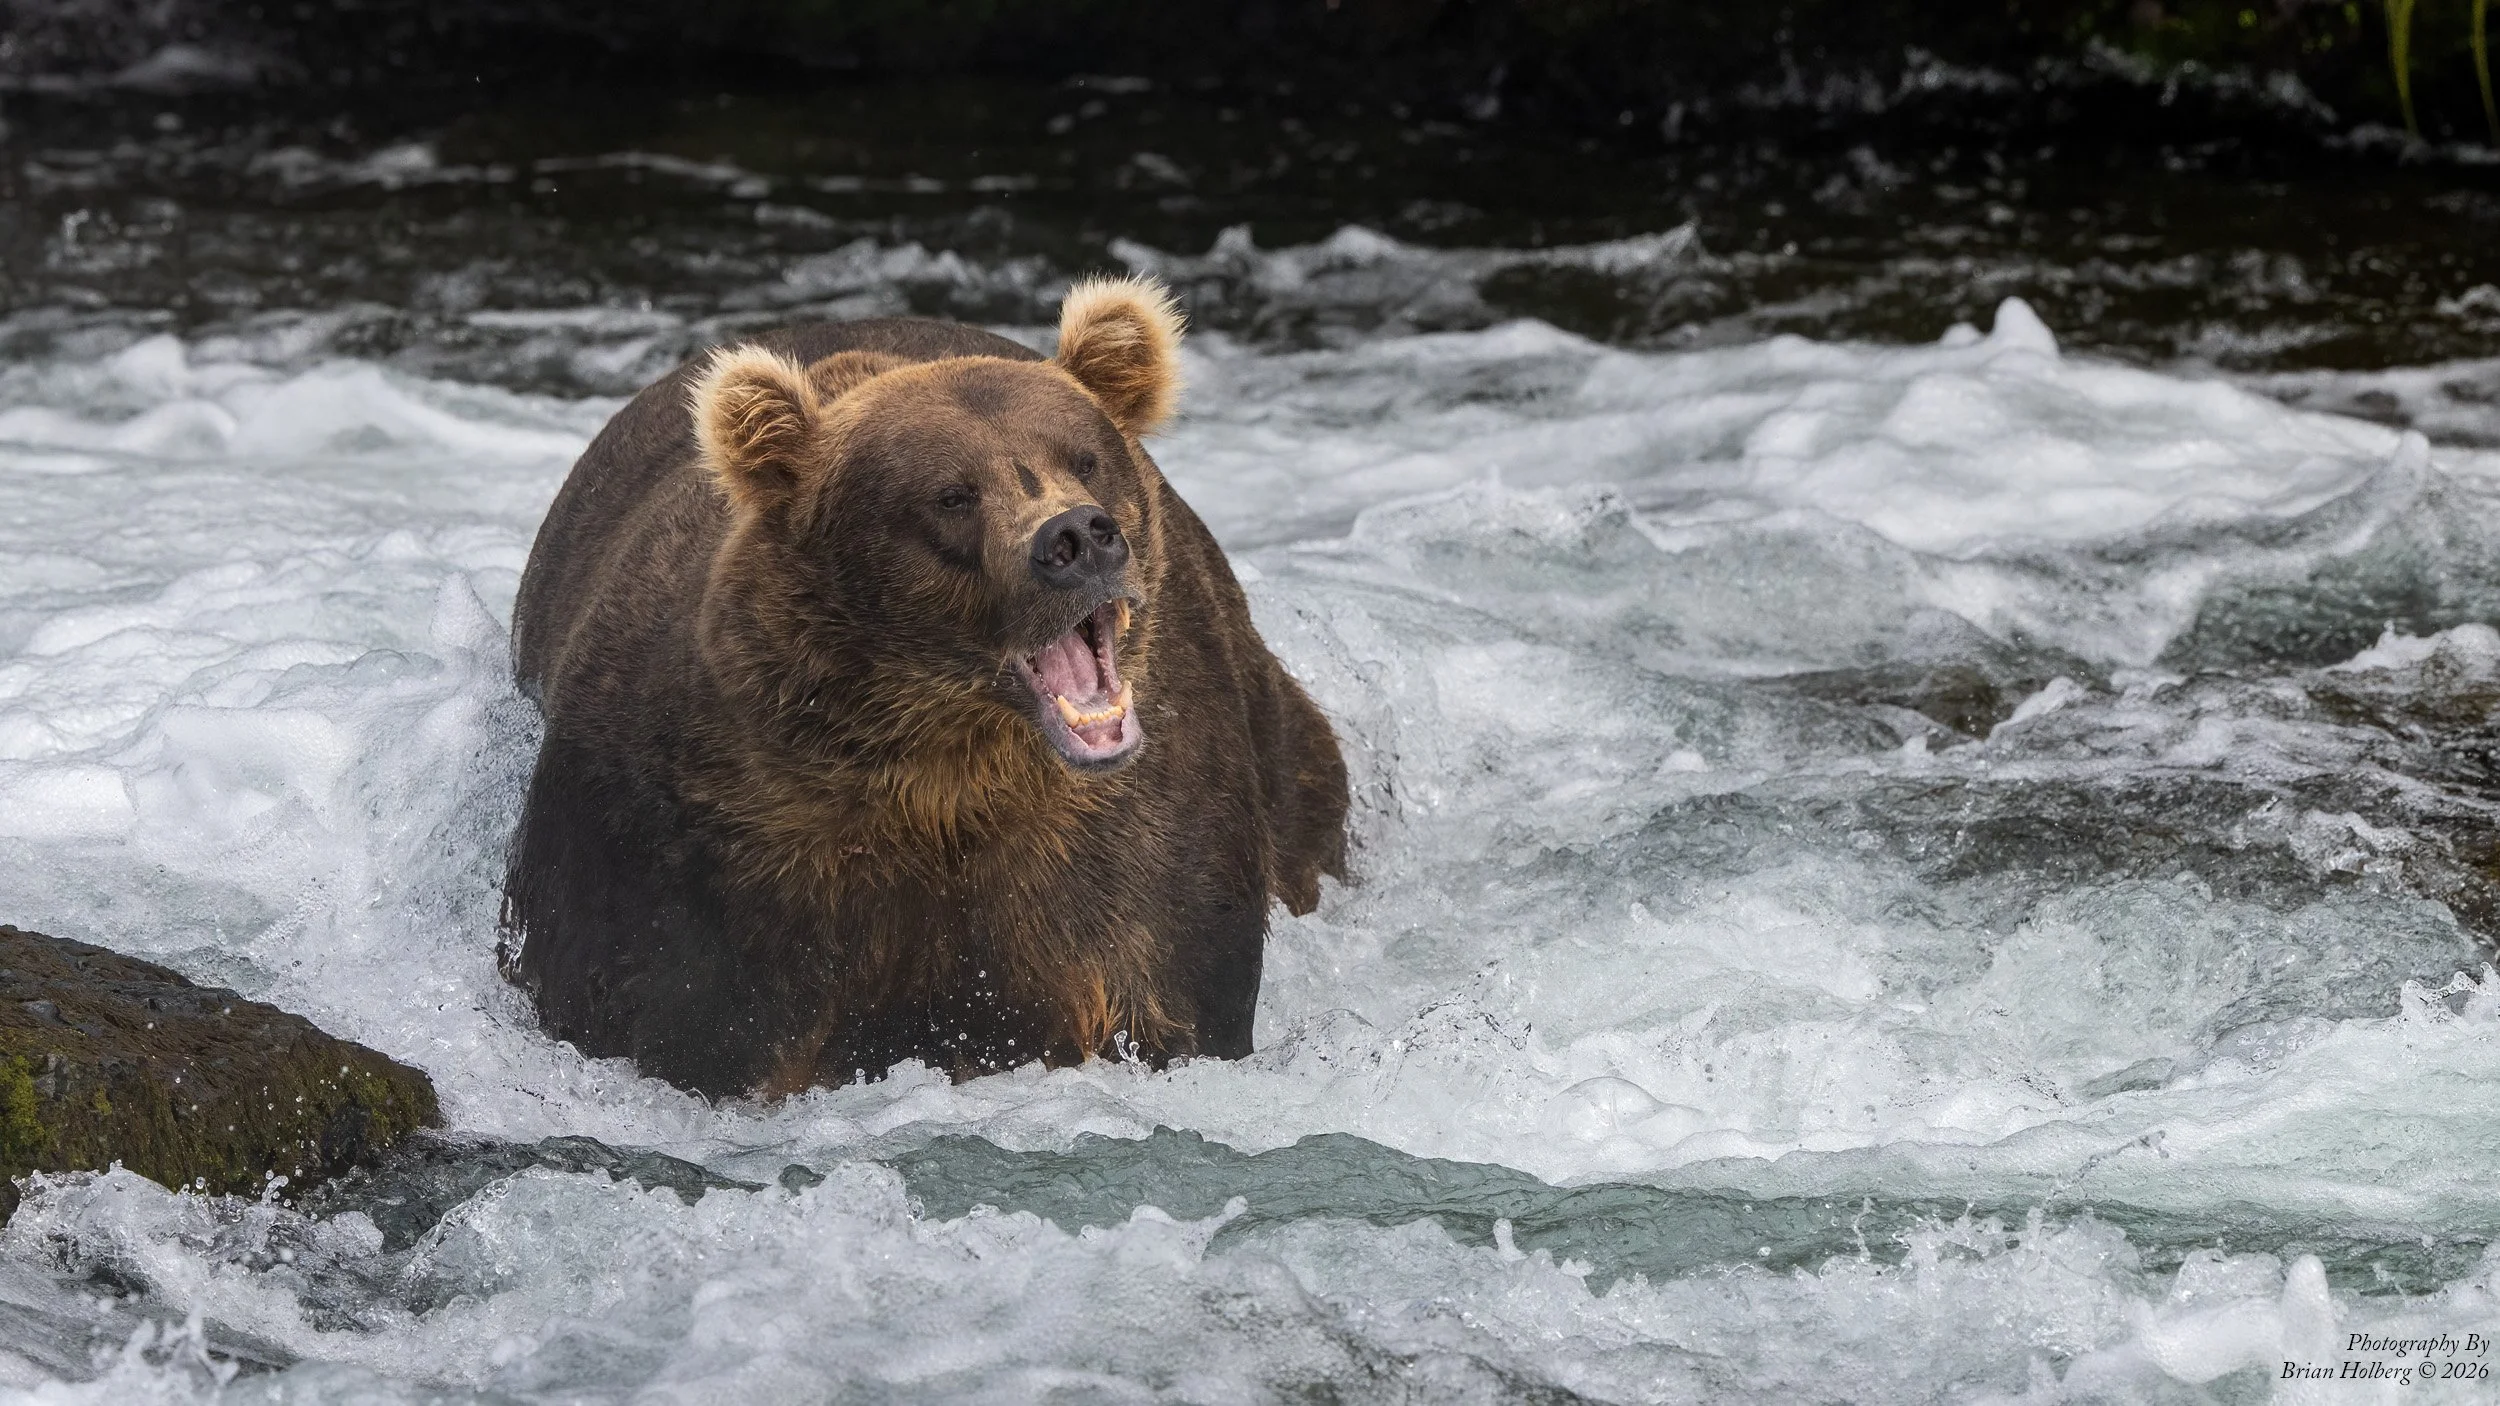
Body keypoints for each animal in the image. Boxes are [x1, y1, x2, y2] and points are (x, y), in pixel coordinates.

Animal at [498, 276, 1349, 1098]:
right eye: (951, 493)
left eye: (1085, 457)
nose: (1078, 537)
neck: (943, 761)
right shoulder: (691, 834)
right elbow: (662, 996)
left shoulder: (1133, 829)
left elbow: (1159, 971)